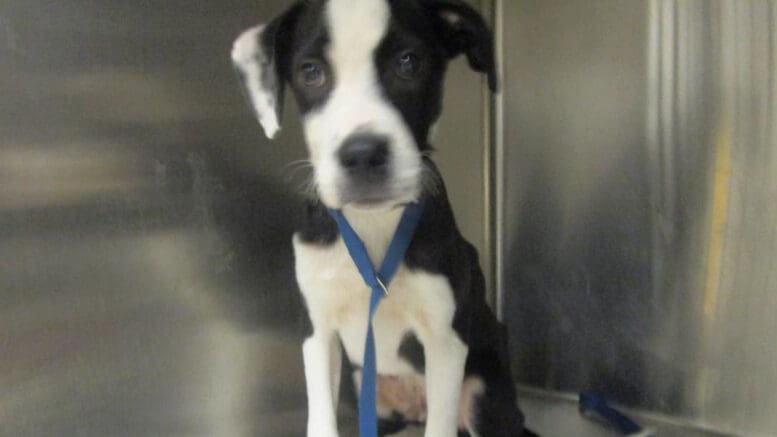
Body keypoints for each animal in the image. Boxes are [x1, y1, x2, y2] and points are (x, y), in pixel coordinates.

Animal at [230, 0, 532, 436]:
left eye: (408, 62)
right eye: (311, 71)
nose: (362, 154)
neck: (372, 226)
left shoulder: (444, 341)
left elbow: (440, 426)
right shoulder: (317, 332)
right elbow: (320, 419)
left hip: (484, 393)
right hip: (363, 393)